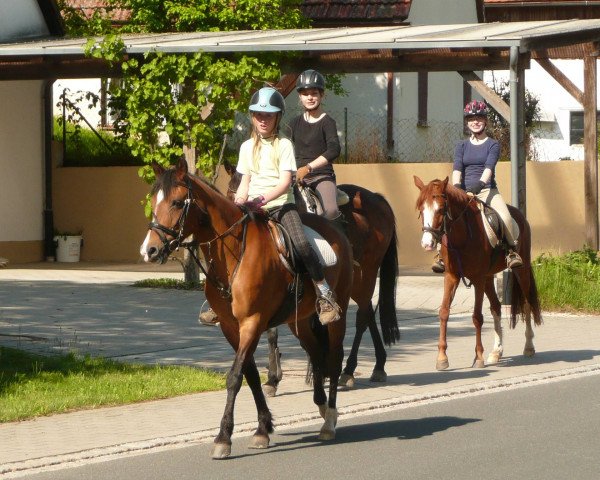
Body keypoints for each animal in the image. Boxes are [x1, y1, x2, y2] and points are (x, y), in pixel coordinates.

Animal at [139, 158, 356, 458]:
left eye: (177, 202)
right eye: (153, 200)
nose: (149, 250)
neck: (233, 253)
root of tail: (336, 230)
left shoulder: (252, 322)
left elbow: (235, 377)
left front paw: (223, 438)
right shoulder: (231, 327)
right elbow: (250, 375)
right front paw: (263, 429)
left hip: (338, 313)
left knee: (333, 359)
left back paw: (330, 421)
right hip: (298, 320)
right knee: (315, 353)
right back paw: (321, 406)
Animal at [225, 163, 398, 392]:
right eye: (230, 194)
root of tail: (378, 199)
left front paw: (320, 370)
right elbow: (272, 331)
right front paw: (273, 378)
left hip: (367, 273)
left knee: (362, 316)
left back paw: (350, 370)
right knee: (367, 311)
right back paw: (377, 364)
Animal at [414, 176, 540, 372]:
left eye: (441, 209)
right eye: (421, 209)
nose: (427, 243)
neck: (462, 237)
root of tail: (519, 215)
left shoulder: (478, 278)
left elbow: (477, 317)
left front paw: (478, 356)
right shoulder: (451, 277)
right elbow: (444, 312)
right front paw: (442, 358)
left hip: (521, 270)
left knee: (526, 304)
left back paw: (528, 347)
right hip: (489, 277)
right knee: (496, 307)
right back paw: (496, 352)